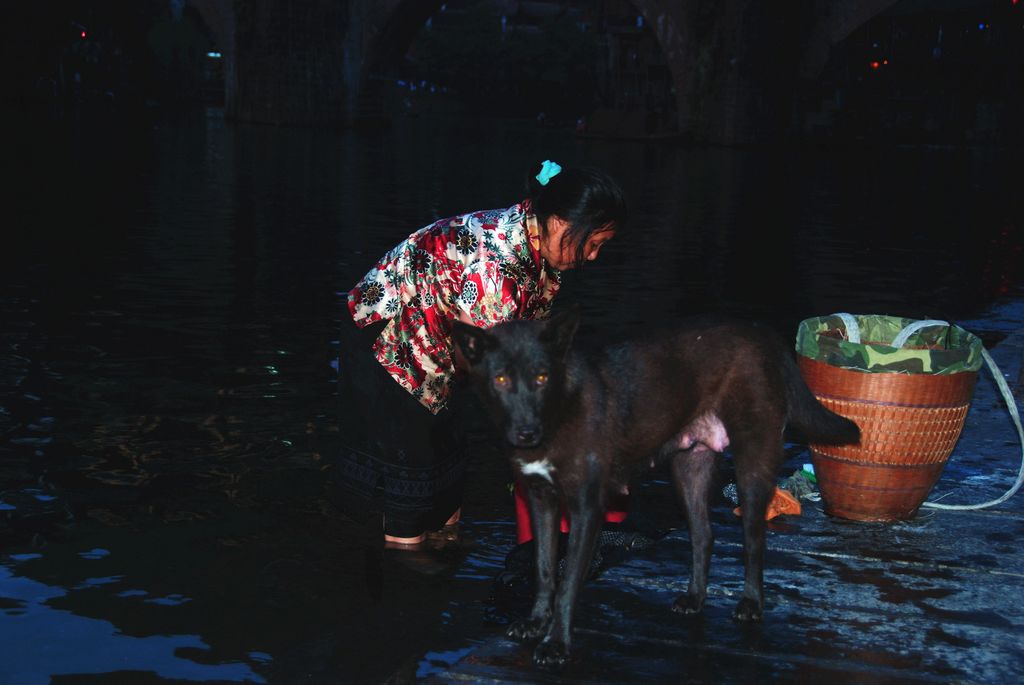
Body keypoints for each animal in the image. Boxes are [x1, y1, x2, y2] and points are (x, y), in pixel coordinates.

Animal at [452, 309, 860, 667]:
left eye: (541, 378)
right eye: (500, 380)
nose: (526, 433)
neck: (560, 408)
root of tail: (761, 333)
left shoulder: (587, 508)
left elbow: (567, 583)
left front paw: (557, 645)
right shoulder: (541, 500)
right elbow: (543, 569)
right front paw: (536, 623)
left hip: (752, 462)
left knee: (754, 539)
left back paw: (751, 604)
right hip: (688, 468)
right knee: (704, 535)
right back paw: (695, 598)